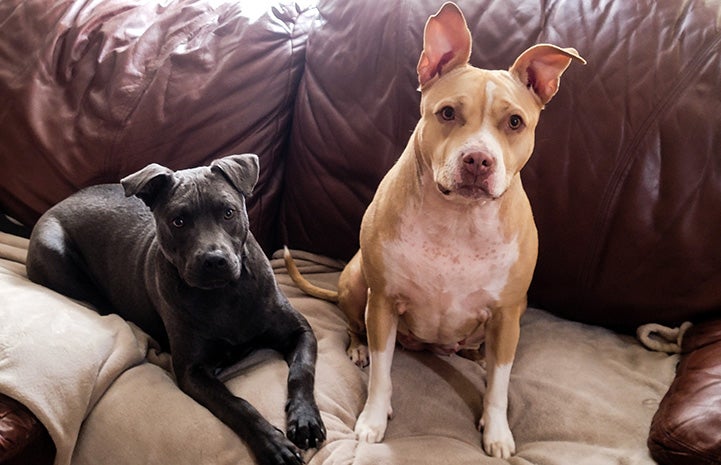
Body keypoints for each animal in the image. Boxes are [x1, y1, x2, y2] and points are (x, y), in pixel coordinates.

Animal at [25, 153, 324, 464]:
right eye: (178, 221)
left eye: (228, 212)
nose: (214, 260)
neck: (224, 294)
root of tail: (60, 203)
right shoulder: (192, 371)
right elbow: (237, 405)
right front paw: (273, 444)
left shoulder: (300, 330)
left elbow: (302, 371)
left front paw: (304, 419)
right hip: (55, 252)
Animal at [284, 0, 584, 456]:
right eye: (447, 113)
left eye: (515, 122)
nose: (478, 160)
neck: (459, 219)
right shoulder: (383, 302)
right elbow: (382, 375)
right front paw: (373, 419)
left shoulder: (507, 312)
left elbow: (499, 387)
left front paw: (497, 432)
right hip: (355, 281)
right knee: (355, 325)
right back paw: (358, 348)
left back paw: (475, 353)